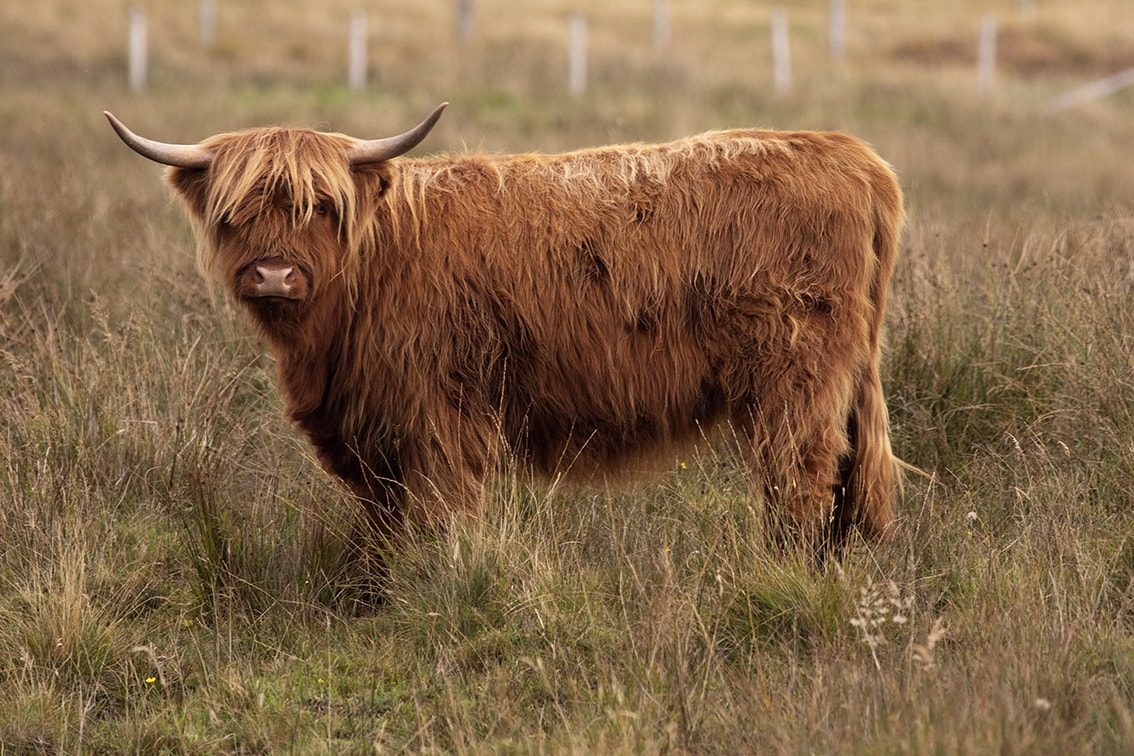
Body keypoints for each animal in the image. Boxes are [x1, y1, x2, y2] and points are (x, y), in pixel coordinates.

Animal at [106, 103, 902, 546]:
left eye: (322, 208)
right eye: (233, 213)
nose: (274, 275)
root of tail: (849, 154)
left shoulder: (439, 415)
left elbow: (441, 514)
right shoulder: (372, 433)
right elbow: (383, 526)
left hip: (795, 377)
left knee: (800, 476)